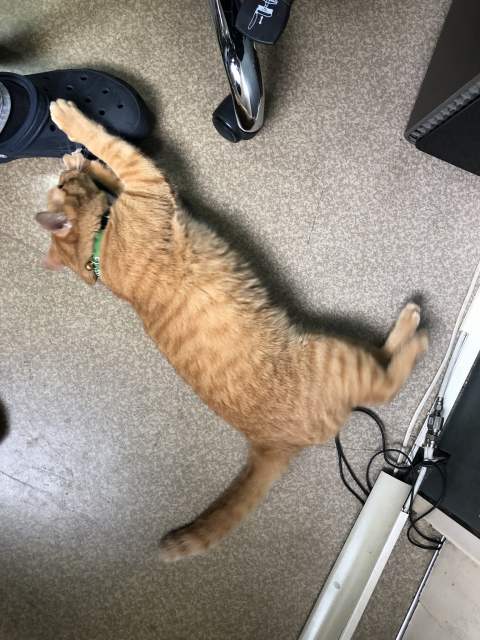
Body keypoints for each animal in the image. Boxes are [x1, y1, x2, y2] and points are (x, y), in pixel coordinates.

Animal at [36, 99, 428, 561]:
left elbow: (111, 169)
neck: (100, 247)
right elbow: (112, 145)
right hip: (334, 354)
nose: (64, 171)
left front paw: (82, 160)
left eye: (62, 183)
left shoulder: (154, 187)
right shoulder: (147, 179)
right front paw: (69, 120)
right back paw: (413, 330)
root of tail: (268, 445)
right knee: (385, 382)